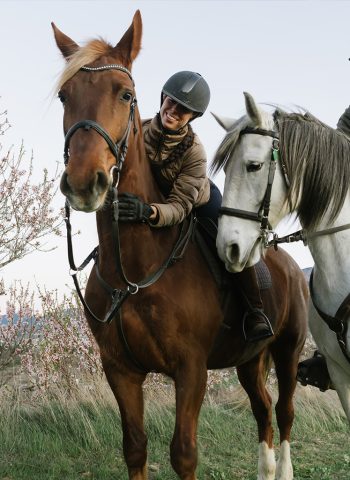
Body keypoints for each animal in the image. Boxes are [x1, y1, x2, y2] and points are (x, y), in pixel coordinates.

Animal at [51, 10, 306, 480]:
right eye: (64, 96)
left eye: (126, 94)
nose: (83, 182)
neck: (134, 270)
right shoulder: (120, 370)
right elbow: (135, 447)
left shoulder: (191, 371)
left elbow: (183, 452)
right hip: (249, 361)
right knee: (262, 410)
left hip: (287, 352)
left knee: (283, 413)